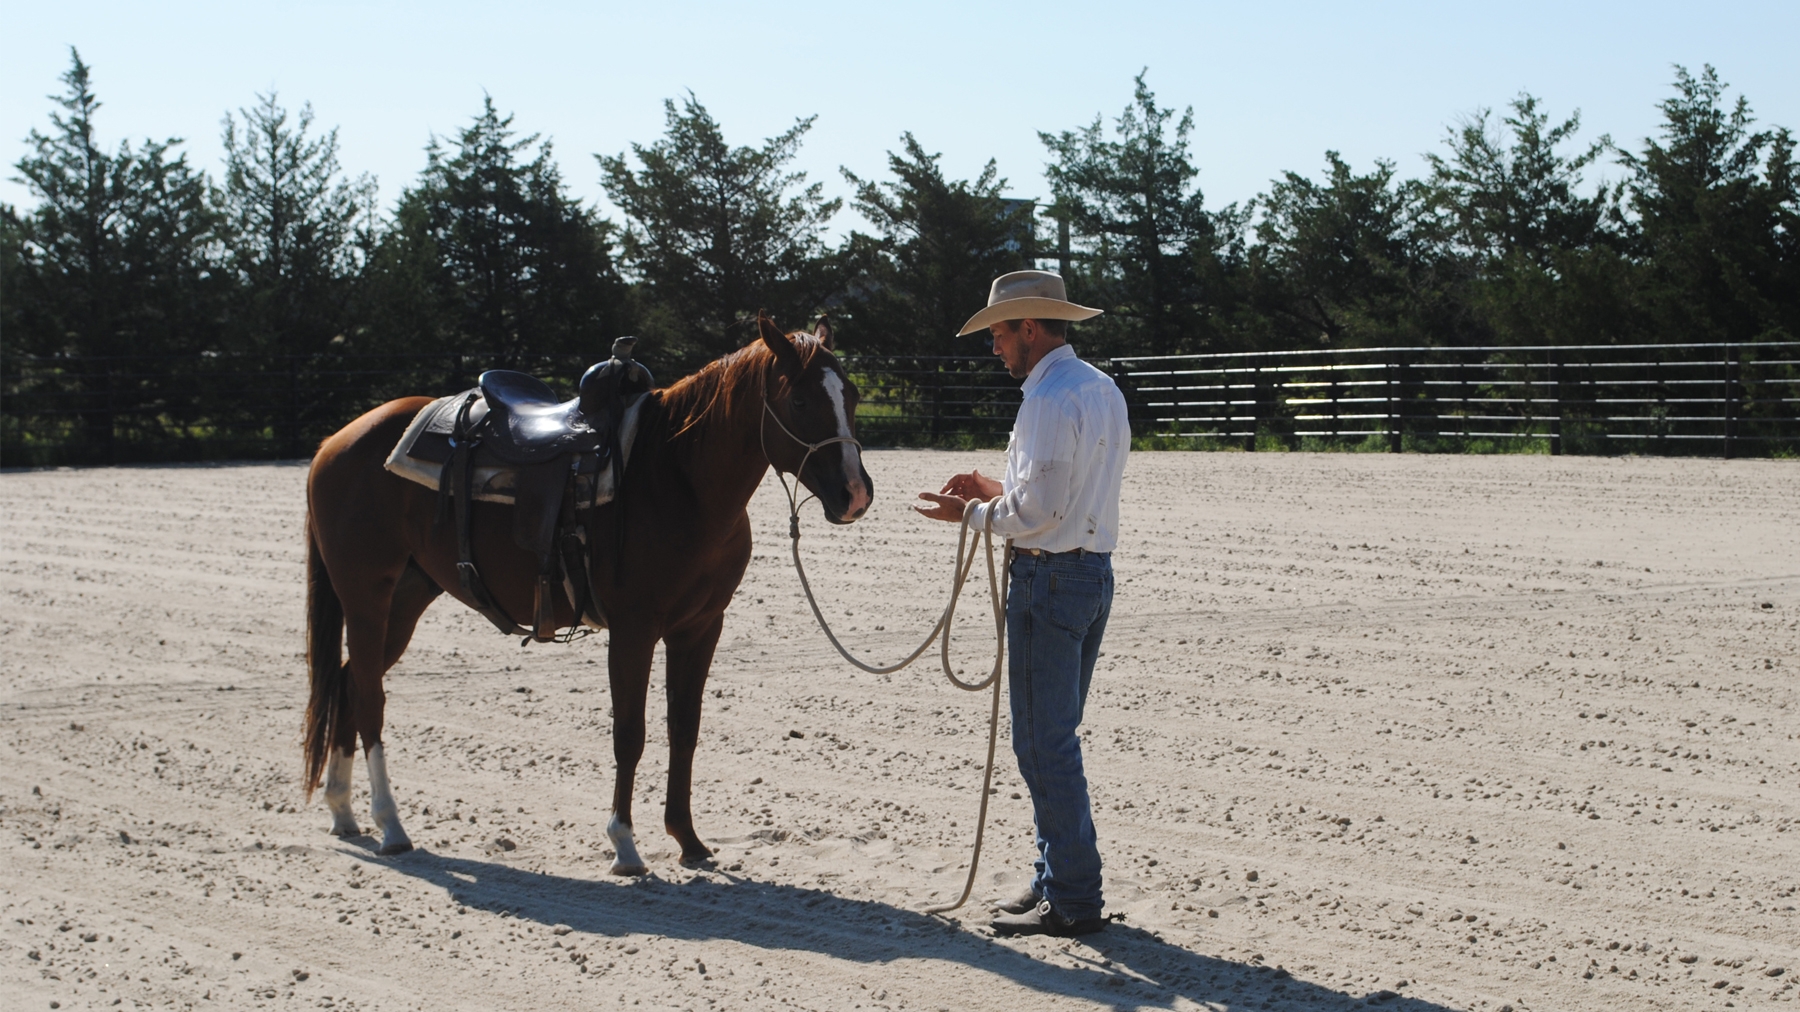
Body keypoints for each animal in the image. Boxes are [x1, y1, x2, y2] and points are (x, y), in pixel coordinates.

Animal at [301, 314, 872, 872]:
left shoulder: (701, 625)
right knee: (370, 696)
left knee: (350, 684)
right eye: (800, 401)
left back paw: (344, 811)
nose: (855, 494)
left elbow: (684, 728)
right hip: (365, 595)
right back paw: (391, 826)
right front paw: (625, 845)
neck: (676, 478)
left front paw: (687, 839)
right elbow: (631, 733)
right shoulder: (634, 629)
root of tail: (334, 442)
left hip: (406, 599)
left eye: (851, 395)